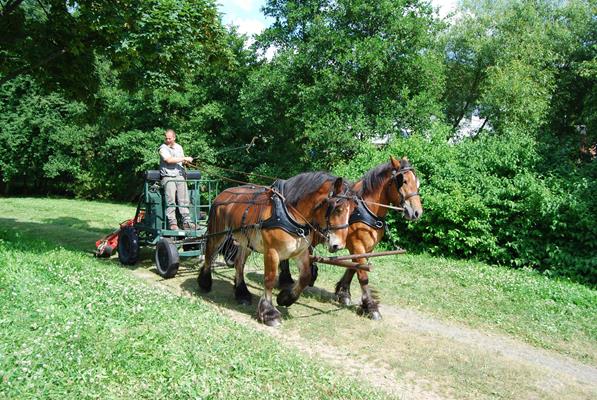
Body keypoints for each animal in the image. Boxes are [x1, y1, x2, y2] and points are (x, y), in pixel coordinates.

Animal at [196, 171, 354, 324]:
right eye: (338, 209)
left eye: (352, 210)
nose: (339, 245)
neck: (289, 214)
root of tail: (223, 194)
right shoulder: (272, 252)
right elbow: (270, 279)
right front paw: (268, 313)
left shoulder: (301, 252)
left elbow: (305, 276)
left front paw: (285, 298)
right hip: (218, 233)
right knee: (209, 254)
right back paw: (204, 283)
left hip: (245, 241)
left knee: (239, 264)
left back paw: (242, 294)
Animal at [278, 156, 422, 318]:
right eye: (404, 181)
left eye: (416, 182)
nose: (417, 212)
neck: (366, 210)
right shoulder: (358, 246)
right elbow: (363, 275)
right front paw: (371, 306)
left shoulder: (367, 249)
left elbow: (354, 268)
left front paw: (343, 293)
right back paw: (285, 278)